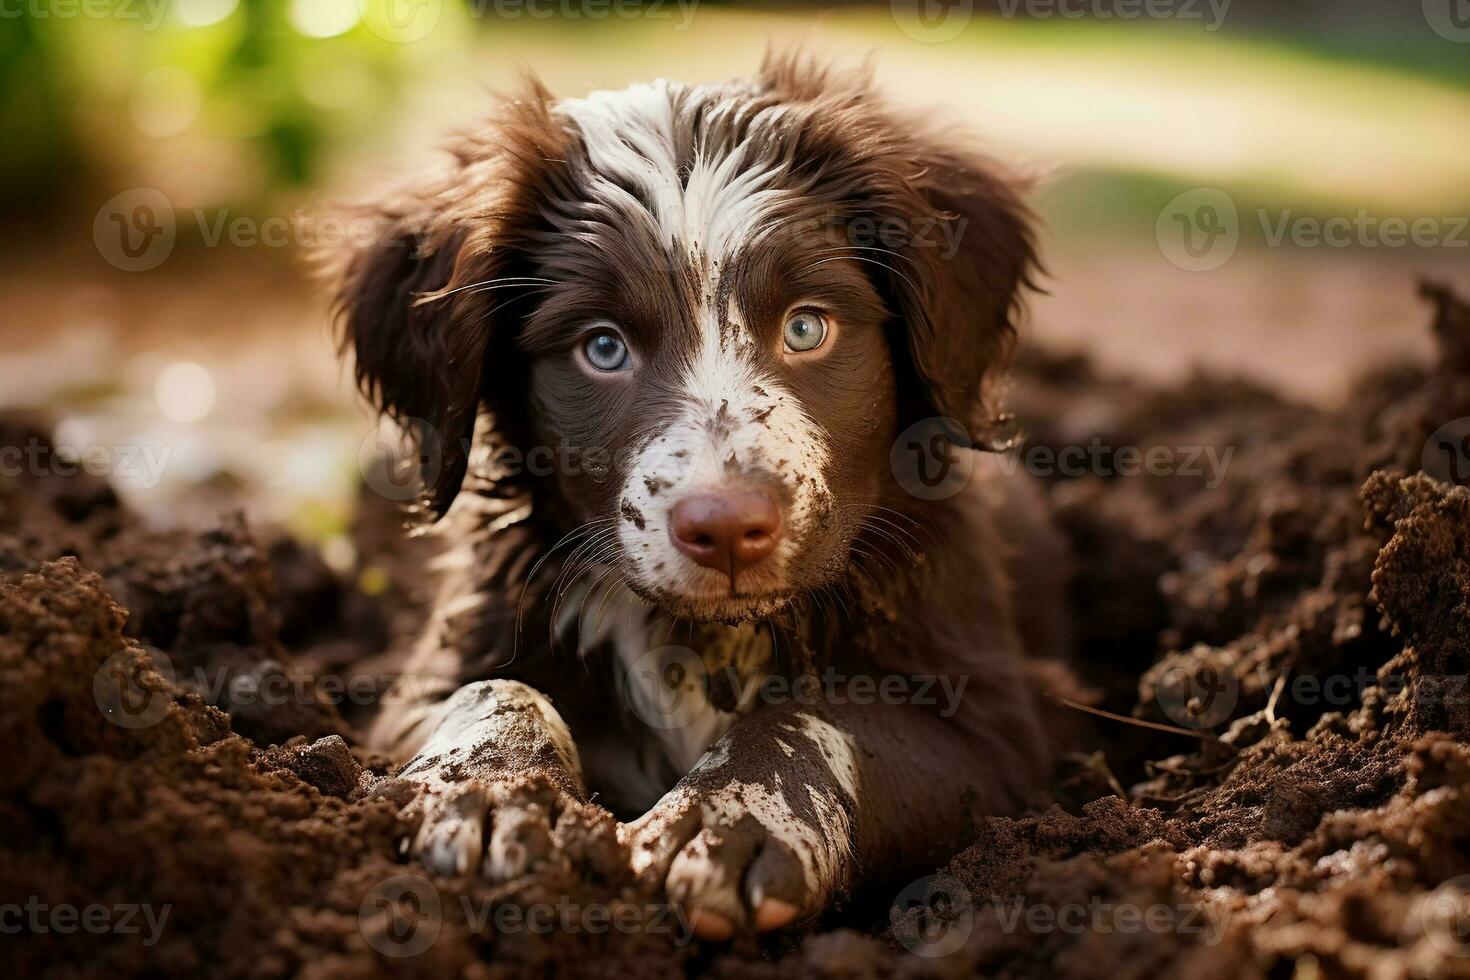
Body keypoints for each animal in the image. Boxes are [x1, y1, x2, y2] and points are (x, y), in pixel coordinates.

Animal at [338, 53, 1076, 940]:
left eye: (806, 328)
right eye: (602, 348)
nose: (726, 528)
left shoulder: (991, 727)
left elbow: (823, 718)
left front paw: (731, 818)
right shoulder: (426, 676)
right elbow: (493, 688)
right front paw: (495, 793)